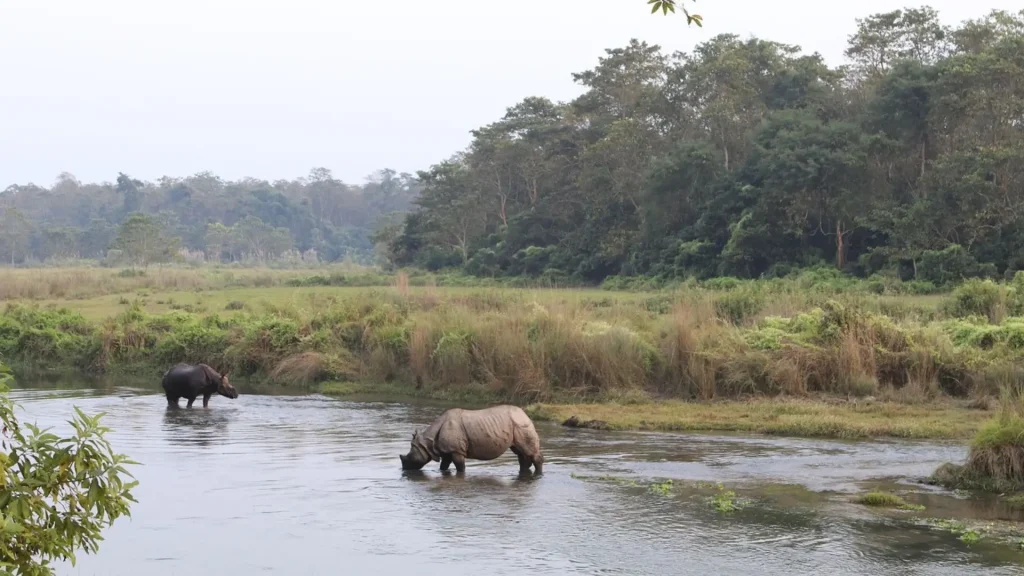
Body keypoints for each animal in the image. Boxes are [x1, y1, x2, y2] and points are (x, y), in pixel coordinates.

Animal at [400, 405, 544, 475]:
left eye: (409, 457)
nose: (404, 469)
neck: (428, 441)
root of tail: (525, 414)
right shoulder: (447, 450)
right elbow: (443, 466)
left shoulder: (456, 450)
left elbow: (460, 467)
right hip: (516, 424)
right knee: (521, 453)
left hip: (521, 424)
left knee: (528, 451)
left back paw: (538, 475)